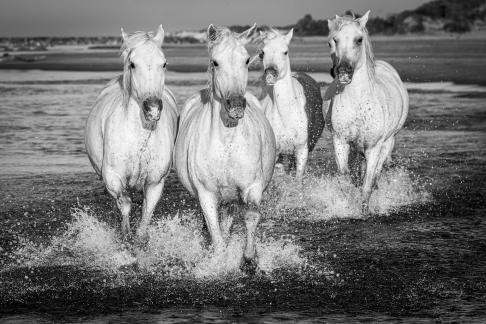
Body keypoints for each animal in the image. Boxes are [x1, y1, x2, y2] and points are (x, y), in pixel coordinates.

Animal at [85, 26, 178, 240]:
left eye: (164, 63)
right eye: (133, 64)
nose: (153, 109)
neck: (139, 138)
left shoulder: (155, 182)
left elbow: (146, 215)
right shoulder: (112, 177)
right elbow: (125, 203)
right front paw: (125, 236)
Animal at [174, 23, 278, 270]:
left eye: (247, 60)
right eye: (215, 62)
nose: (237, 106)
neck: (226, 144)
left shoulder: (251, 187)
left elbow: (250, 217)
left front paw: (249, 259)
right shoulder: (207, 195)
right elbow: (215, 232)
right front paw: (220, 261)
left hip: (231, 195)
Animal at [258, 27, 326, 180]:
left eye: (285, 51)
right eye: (263, 52)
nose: (270, 74)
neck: (287, 114)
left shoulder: (302, 150)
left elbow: (298, 179)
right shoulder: (276, 152)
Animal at [324, 10, 408, 210]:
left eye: (359, 39)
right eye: (333, 40)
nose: (343, 72)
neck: (358, 102)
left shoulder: (374, 147)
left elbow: (367, 185)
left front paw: (364, 211)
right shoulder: (341, 141)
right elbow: (345, 176)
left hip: (387, 143)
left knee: (376, 172)